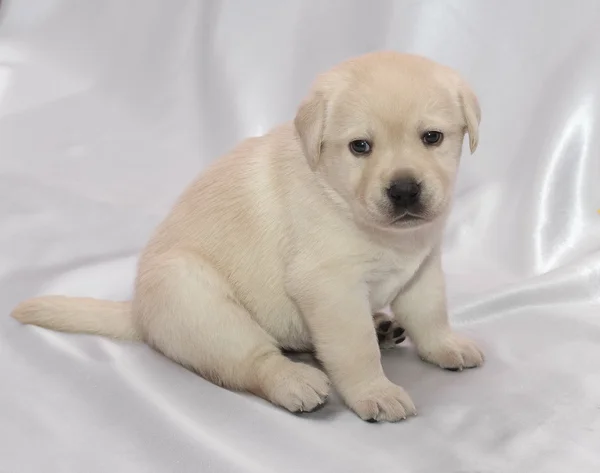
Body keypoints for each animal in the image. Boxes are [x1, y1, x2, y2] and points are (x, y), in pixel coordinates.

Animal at [12, 50, 482, 420]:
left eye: (432, 137)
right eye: (360, 147)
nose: (404, 190)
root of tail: (140, 316)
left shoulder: (423, 268)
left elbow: (431, 314)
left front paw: (445, 346)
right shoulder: (329, 286)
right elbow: (355, 347)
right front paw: (375, 392)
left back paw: (383, 326)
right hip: (195, 297)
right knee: (252, 360)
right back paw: (293, 379)